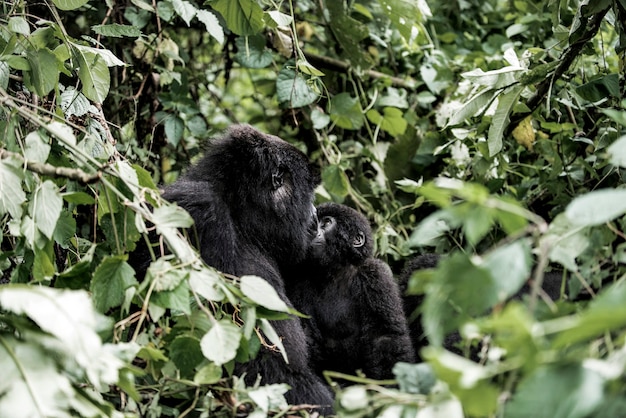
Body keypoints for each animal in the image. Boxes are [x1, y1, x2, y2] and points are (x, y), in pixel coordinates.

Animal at [288, 202, 414, 382]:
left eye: (326, 223)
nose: (311, 231)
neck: (335, 271)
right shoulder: (300, 280)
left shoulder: (375, 274)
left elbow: (385, 337)